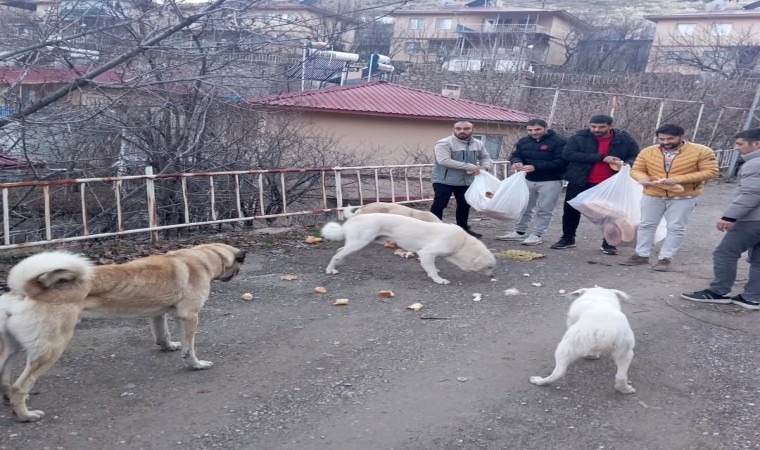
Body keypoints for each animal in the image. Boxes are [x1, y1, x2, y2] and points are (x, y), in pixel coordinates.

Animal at [0, 243, 243, 422]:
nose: (235, 274)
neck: (202, 256)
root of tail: (26, 289)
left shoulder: (158, 314)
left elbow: (162, 334)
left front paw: (168, 347)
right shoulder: (190, 316)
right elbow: (189, 348)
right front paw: (196, 365)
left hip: (14, 349)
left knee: (5, 376)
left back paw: (6, 397)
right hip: (52, 348)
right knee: (21, 387)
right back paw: (25, 415)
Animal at [320, 213, 492, 284]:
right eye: (490, 267)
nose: (493, 276)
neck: (462, 242)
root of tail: (351, 220)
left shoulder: (428, 255)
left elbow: (432, 266)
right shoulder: (426, 253)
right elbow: (431, 270)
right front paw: (438, 279)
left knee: (339, 252)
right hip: (359, 242)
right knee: (337, 254)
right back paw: (330, 269)